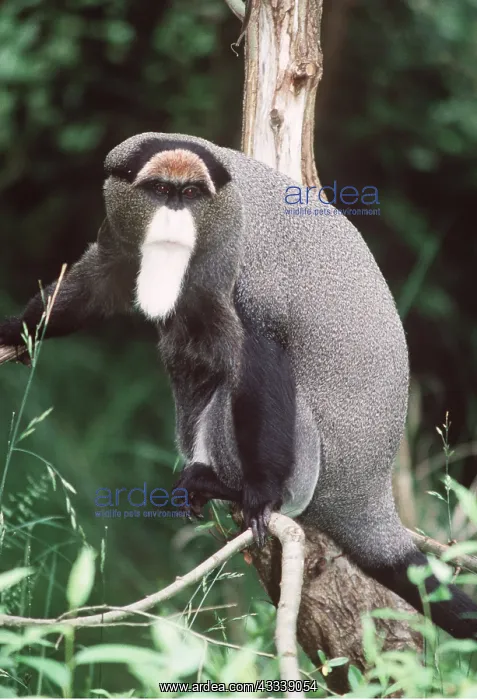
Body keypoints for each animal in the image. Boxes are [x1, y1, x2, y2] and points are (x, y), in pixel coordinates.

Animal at [1, 132, 477, 639]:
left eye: (191, 194)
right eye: (159, 191)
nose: (174, 219)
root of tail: (366, 496)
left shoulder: (249, 275)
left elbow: (261, 359)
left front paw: (260, 496)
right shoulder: (118, 232)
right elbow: (99, 282)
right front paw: (17, 328)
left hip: (309, 469)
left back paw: (222, 485)